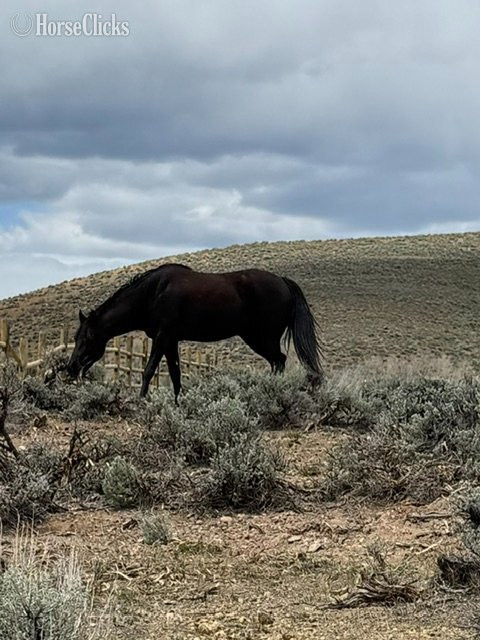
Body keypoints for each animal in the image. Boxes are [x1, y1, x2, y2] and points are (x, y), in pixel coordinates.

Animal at [66, 264, 323, 401]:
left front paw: (141, 399)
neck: (153, 293)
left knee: (279, 360)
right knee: (277, 361)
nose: (71, 367)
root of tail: (282, 281)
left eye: (88, 337)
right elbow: (175, 374)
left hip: (262, 338)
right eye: (75, 337)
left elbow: (148, 370)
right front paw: (177, 402)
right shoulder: (171, 341)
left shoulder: (162, 337)